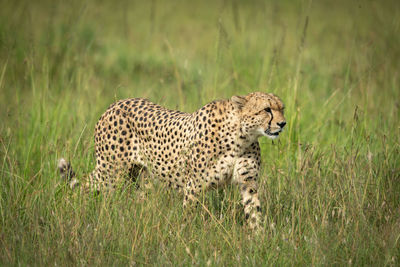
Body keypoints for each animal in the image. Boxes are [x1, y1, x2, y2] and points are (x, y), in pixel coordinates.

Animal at [58, 92, 284, 230]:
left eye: (281, 108)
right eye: (267, 109)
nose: (283, 123)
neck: (241, 136)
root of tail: (115, 104)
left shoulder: (248, 183)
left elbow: (254, 211)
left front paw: (259, 239)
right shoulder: (194, 185)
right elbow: (189, 213)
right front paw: (187, 235)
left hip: (141, 179)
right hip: (110, 173)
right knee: (85, 186)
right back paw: (71, 206)